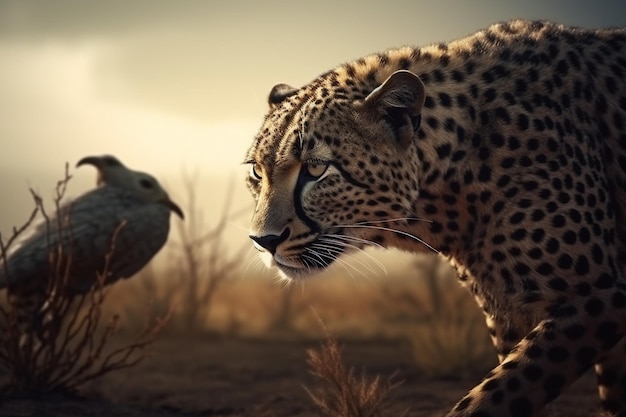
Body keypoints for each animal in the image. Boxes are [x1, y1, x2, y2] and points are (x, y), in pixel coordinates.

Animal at [243, 20, 624, 416]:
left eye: (316, 169)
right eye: (257, 171)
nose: (263, 241)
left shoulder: (598, 296)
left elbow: (494, 395)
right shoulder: (509, 315)